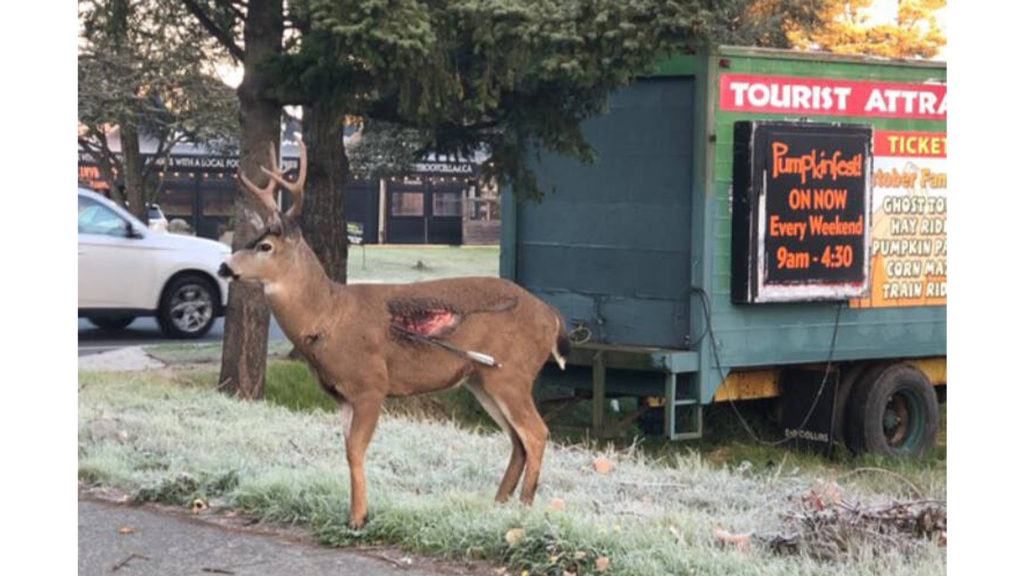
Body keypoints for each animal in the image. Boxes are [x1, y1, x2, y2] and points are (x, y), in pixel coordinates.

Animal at [220, 141, 573, 528]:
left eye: (265, 246)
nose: (224, 266)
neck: (328, 315)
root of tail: (552, 317)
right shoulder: (342, 395)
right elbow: (346, 449)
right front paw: (355, 513)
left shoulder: (371, 383)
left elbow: (355, 450)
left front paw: (358, 519)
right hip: (481, 378)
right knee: (517, 440)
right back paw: (498, 505)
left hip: (512, 373)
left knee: (537, 433)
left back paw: (524, 509)